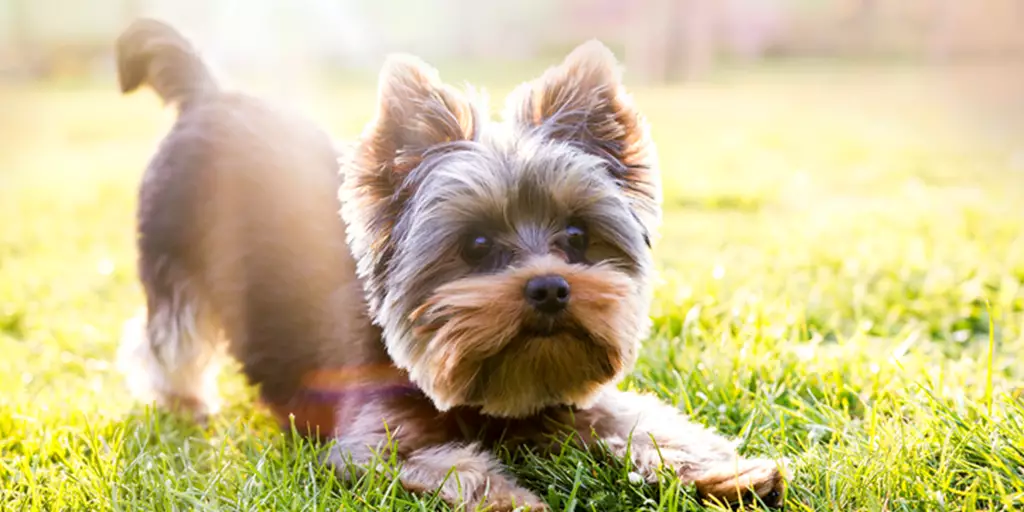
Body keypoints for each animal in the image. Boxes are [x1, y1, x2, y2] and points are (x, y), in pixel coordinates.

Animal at [114, 18, 782, 509]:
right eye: (477, 247)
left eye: (577, 236)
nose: (549, 288)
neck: (488, 392)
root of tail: (208, 94)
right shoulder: (369, 446)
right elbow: (455, 466)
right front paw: (516, 499)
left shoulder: (577, 396)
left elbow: (647, 423)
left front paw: (729, 474)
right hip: (173, 257)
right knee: (167, 338)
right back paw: (184, 403)